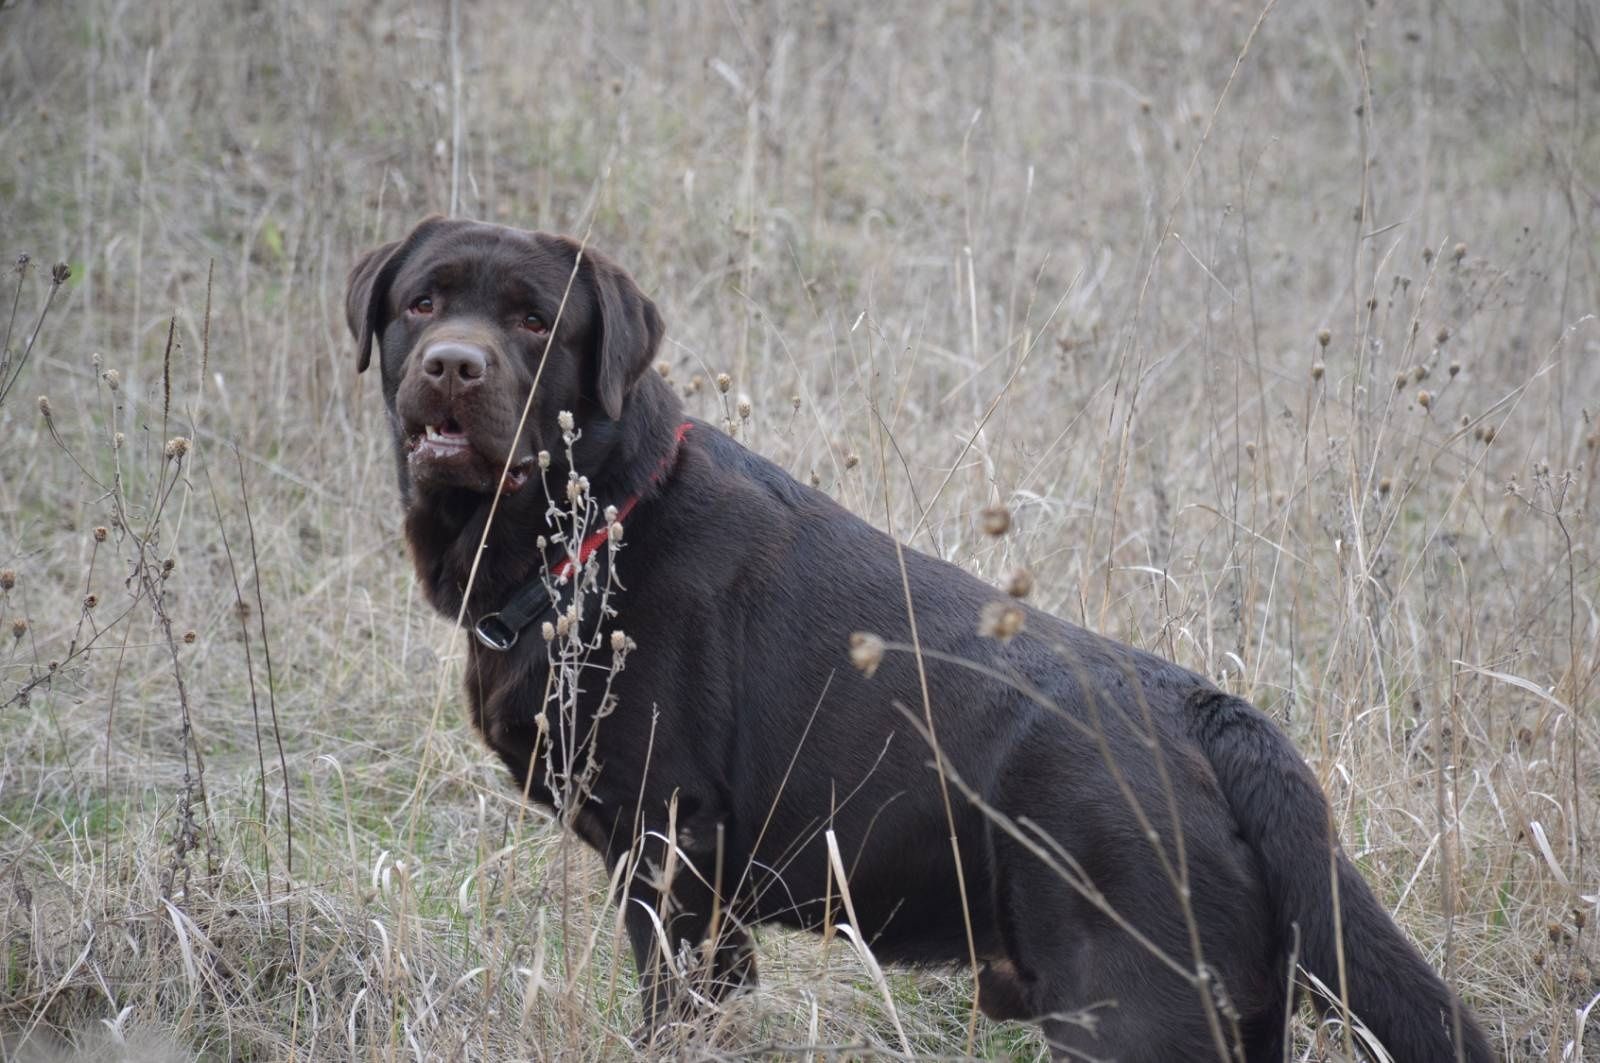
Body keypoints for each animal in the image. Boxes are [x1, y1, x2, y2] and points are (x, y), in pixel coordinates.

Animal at [344, 217, 1491, 1063]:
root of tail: (1218, 719)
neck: (595, 525)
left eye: (536, 321)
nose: (453, 367)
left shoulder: (675, 858)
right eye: (422, 303)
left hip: (1130, 1013)